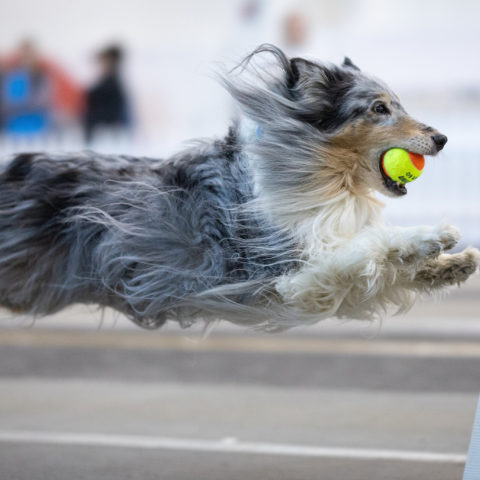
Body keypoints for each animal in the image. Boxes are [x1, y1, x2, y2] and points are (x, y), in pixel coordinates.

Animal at [0, 44, 476, 330]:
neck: (320, 174)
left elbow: (381, 268)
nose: (441, 139)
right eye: (379, 108)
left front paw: (451, 263)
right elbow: (365, 249)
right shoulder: (288, 276)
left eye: (401, 104)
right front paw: (431, 236)